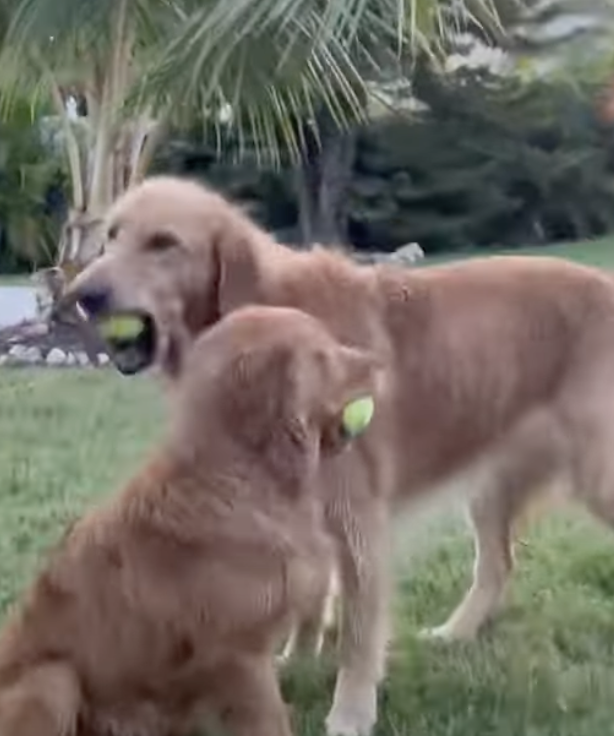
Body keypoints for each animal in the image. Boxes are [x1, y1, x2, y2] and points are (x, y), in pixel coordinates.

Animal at [0, 304, 382, 736]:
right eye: (322, 355)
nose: (378, 363)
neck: (243, 474)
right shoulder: (240, 657)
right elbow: (270, 720)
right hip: (53, 680)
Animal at [59, 174, 614, 736]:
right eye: (111, 236)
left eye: (164, 243)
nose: (81, 296)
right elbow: (310, 605)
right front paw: (297, 661)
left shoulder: (358, 520)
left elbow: (358, 633)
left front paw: (350, 712)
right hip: (491, 486)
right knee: (498, 565)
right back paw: (455, 633)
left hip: (595, 477)